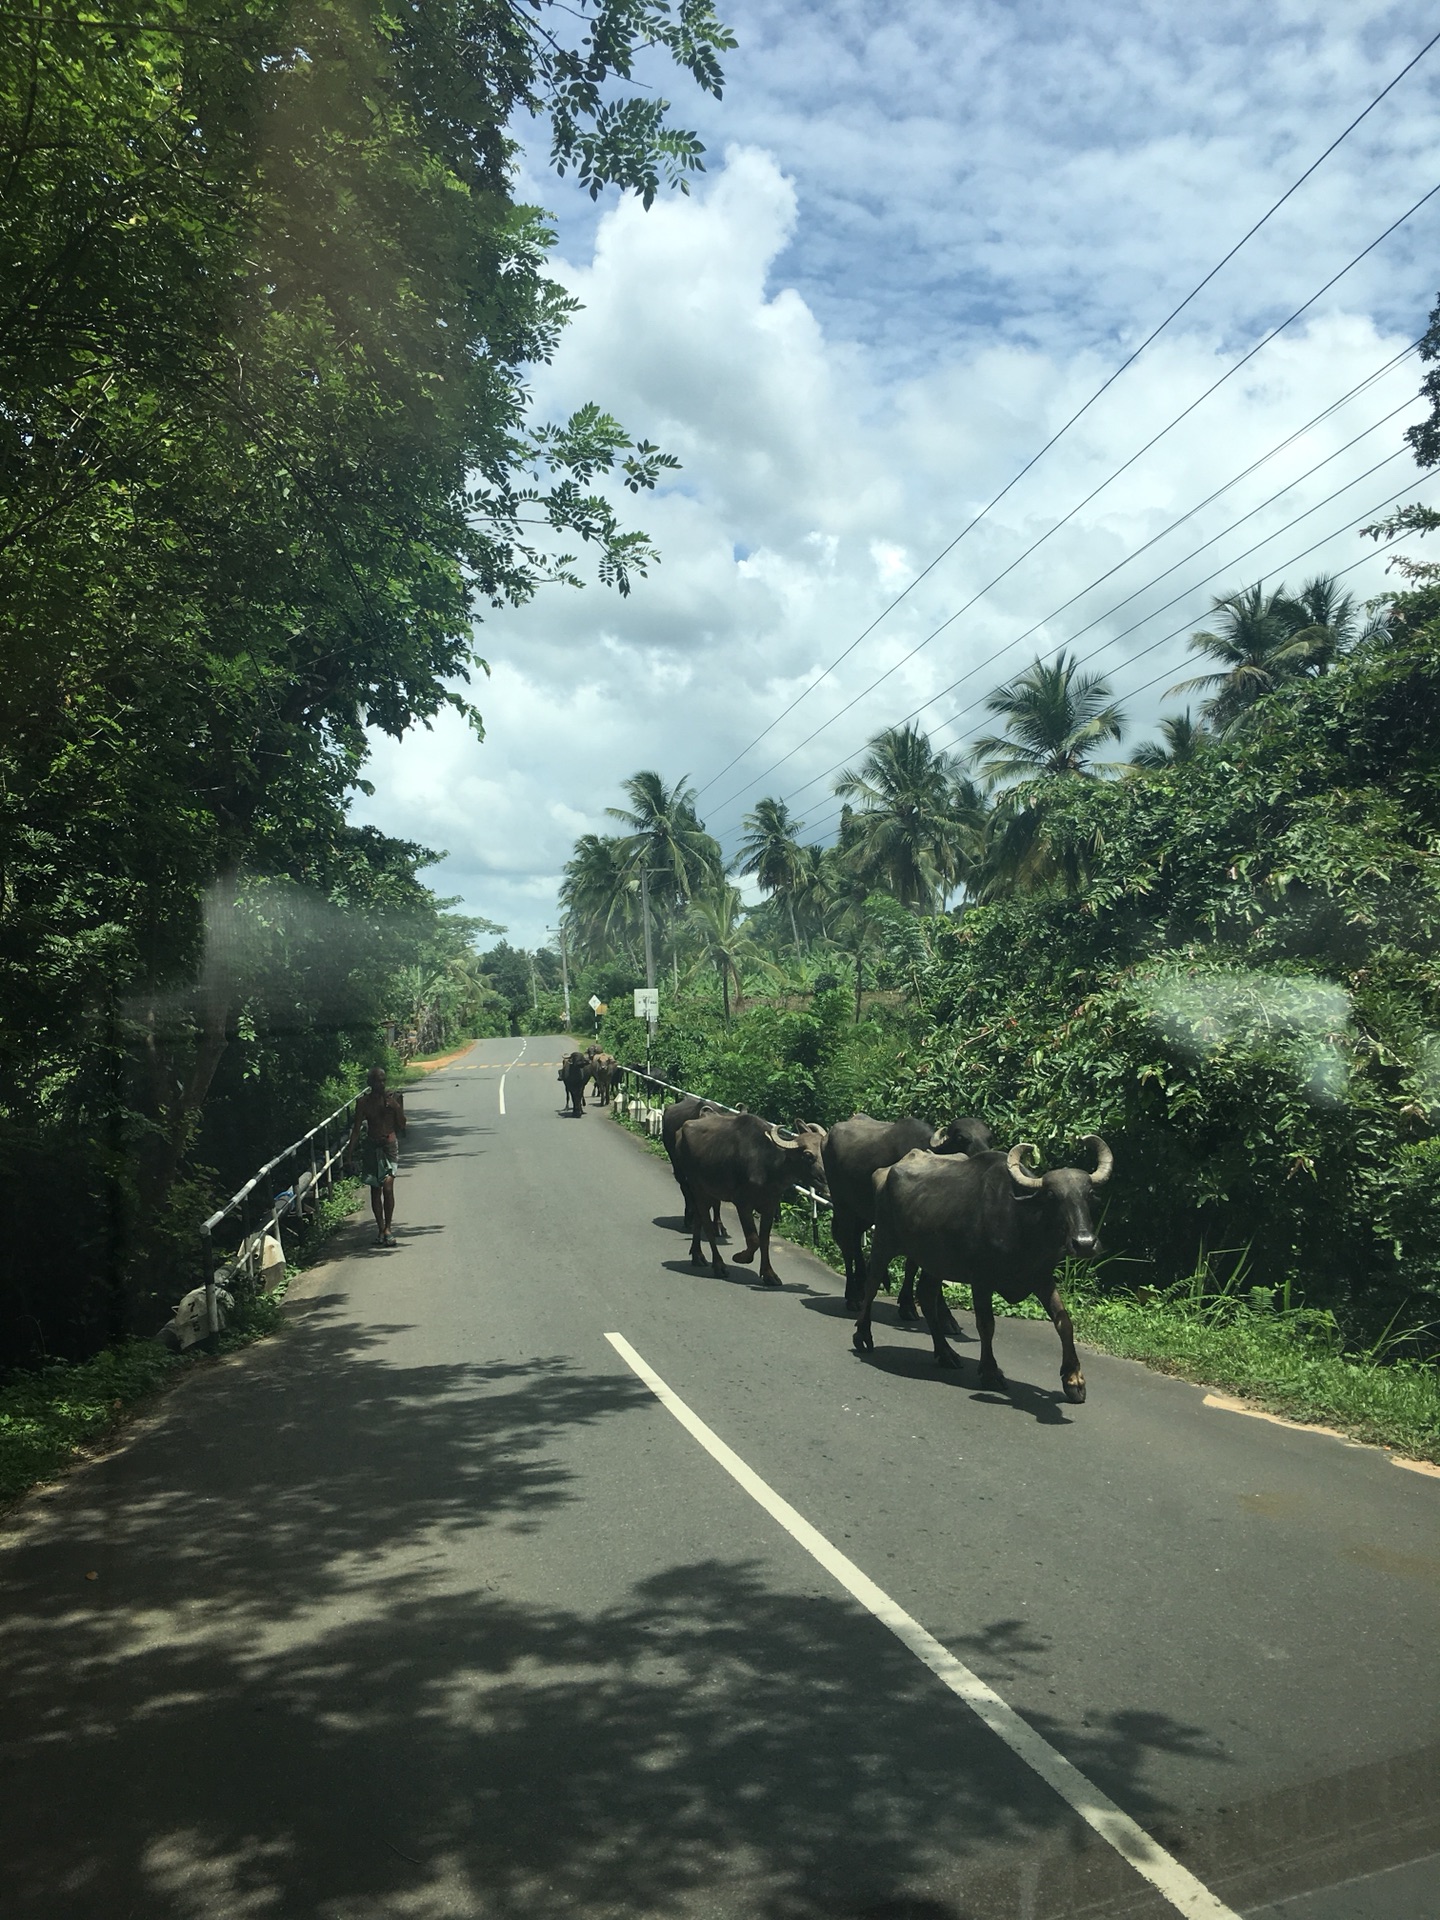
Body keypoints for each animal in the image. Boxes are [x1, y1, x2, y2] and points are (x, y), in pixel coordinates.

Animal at [679, 1113, 833, 1290]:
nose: (827, 1181)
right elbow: (754, 1240)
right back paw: (719, 1266)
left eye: (824, 1151)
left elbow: (764, 1240)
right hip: (697, 1188)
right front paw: (740, 1257)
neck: (769, 1166)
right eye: (808, 1155)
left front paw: (769, 1274)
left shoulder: (770, 1206)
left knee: (699, 1219)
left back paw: (697, 1255)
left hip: (709, 1193)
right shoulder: (743, 1204)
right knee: (707, 1225)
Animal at [821, 1113, 990, 1320]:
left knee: (854, 1238)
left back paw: (861, 1285)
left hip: (864, 1211)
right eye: (961, 1138)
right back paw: (852, 1296)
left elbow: (917, 1265)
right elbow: (914, 1265)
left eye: (989, 1138)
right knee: (846, 1243)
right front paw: (917, 1306)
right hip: (843, 1205)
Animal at [856, 1128, 1113, 1405]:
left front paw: (1073, 1380)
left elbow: (1063, 1321)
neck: (1022, 1225)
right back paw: (862, 1335)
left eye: (1088, 1195)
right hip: (884, 1242)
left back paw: (945, 1353)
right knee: (871, 1285)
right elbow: (986, 1325)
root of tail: (885, 1172)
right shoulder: (981, 1280)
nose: (1084, 1243)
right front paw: (990, 1372)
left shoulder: (1041, 1277)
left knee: (925, 1296)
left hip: (934, 1263)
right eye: (1052, 1196)